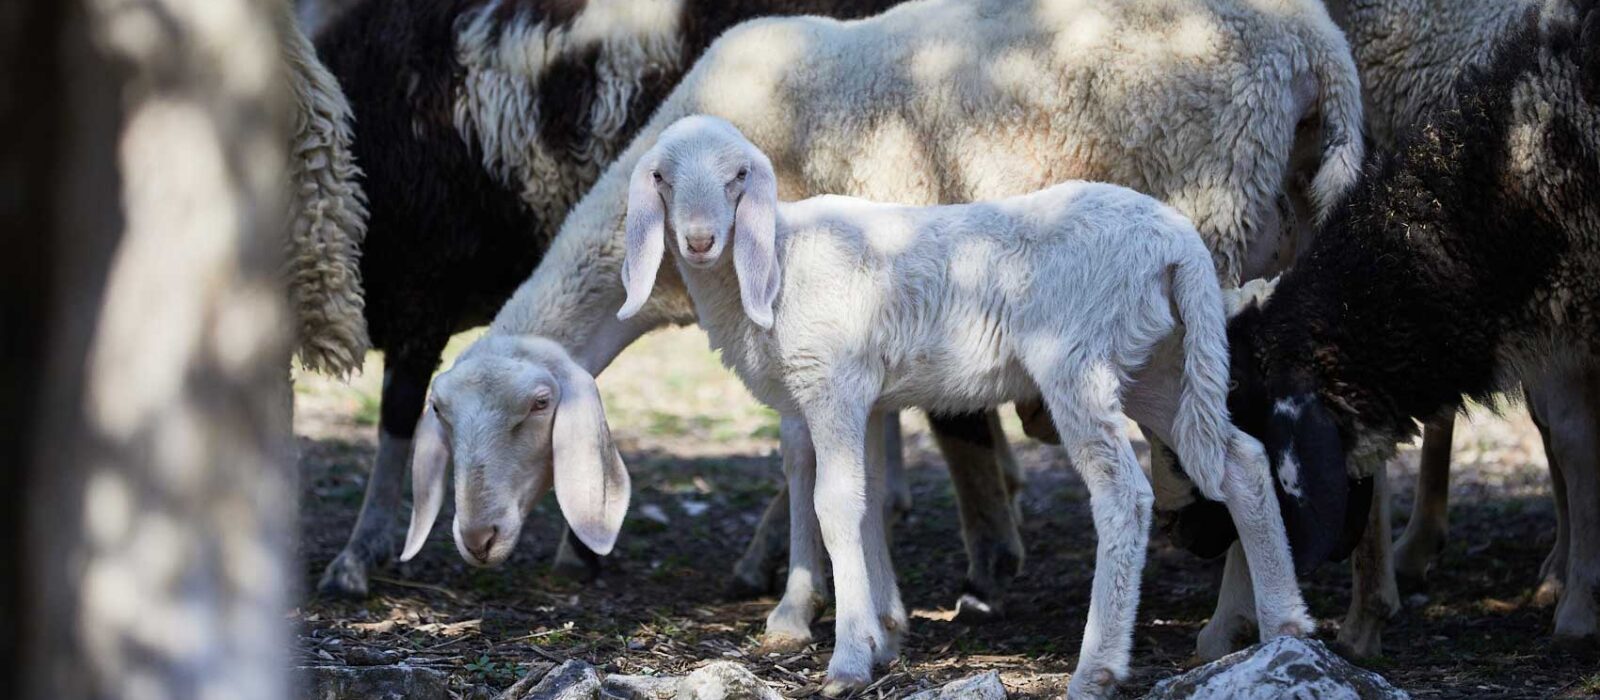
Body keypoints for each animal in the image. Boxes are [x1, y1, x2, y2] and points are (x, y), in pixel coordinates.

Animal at [617, 115, 1305, 700]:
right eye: (661, 178)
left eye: (738, 176)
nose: (700, 240)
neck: (777, 258)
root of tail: (1177, 242)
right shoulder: (869, 399)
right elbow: (869, 505)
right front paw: (885, 635)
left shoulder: (833, 385)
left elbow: (834, 506)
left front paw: (848, 661)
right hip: (1159, 363)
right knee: (1241, 461)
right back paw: (1283, 627)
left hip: (1077, 360)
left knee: (1123, 493)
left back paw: (1098, 668)